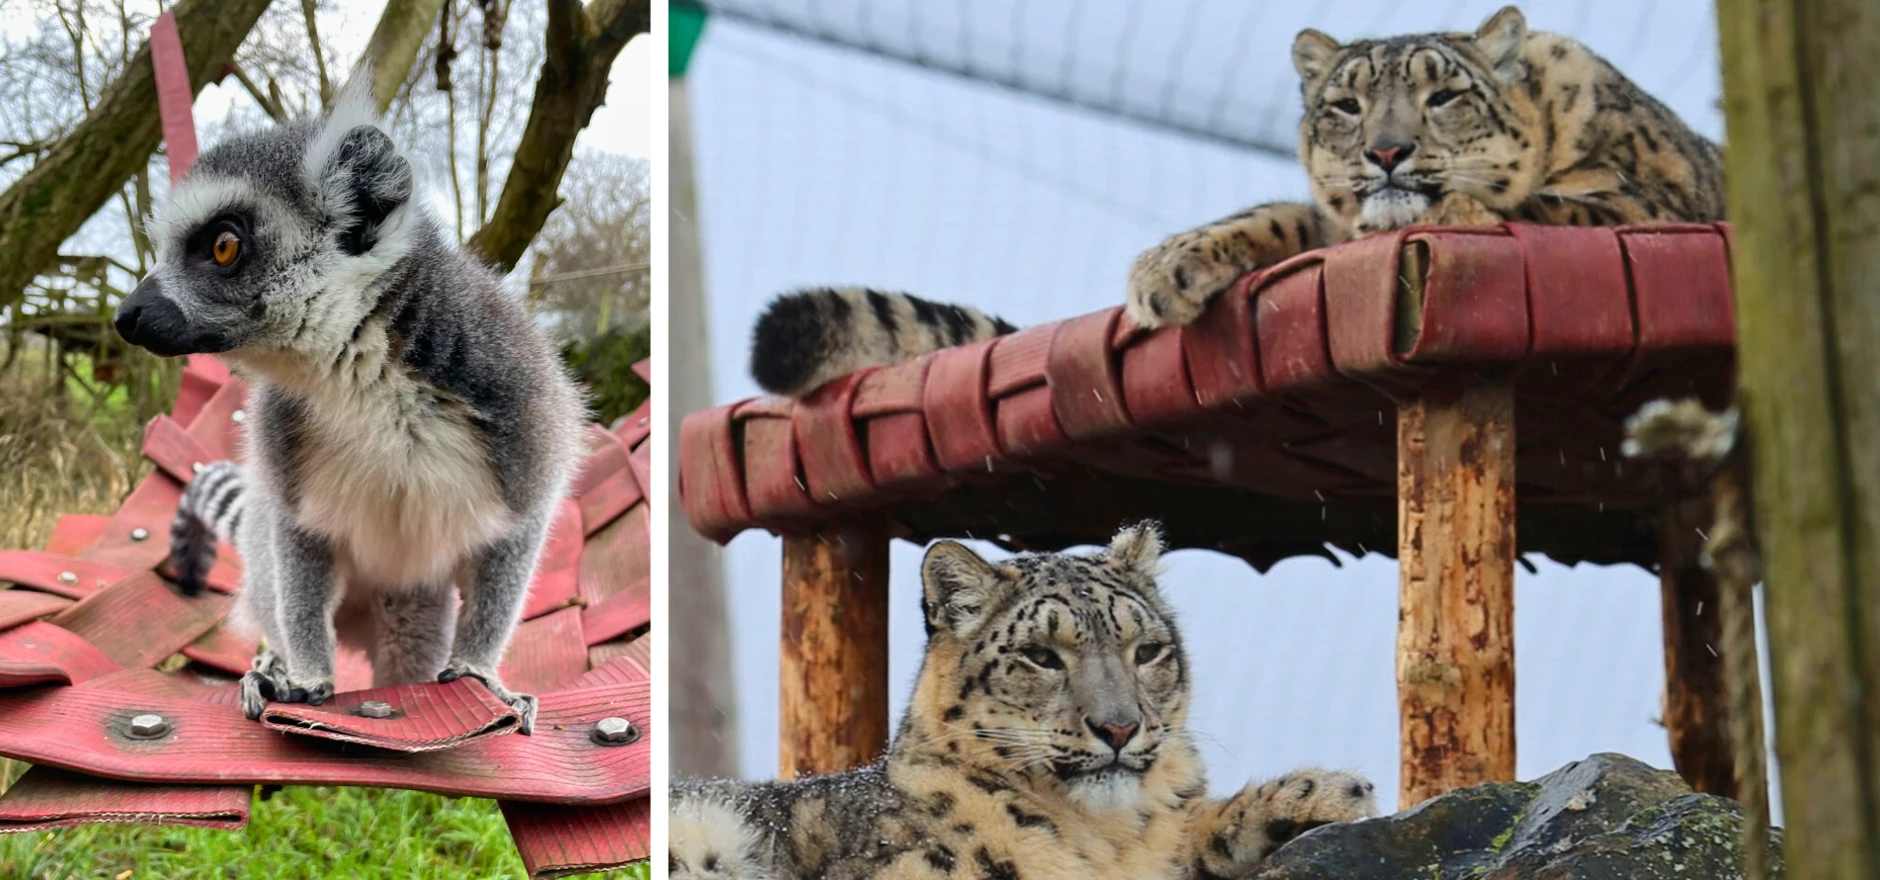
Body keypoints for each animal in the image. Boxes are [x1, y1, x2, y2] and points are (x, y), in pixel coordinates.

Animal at [669, 522, 1376, 880]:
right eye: (1041, 655)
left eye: (1147, 650)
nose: (1119, 728)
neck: (1102, 838)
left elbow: (1192, 830)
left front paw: (1325, 794)